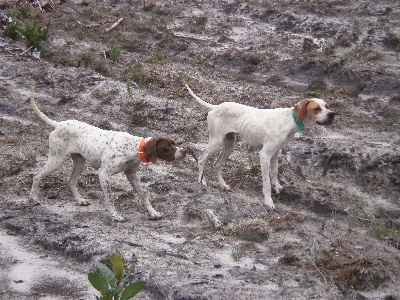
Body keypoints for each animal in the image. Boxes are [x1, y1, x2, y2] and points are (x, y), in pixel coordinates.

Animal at [185, 84, 334, 209]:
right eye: (316, 109)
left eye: (327, 106)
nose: (332, 114)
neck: (290, 120)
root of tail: (216, 107)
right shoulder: (265, 155)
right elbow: (266, 182)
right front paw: (268, 201)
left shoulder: (275, 153)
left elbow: (274, 172)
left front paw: (277, 187)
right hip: (216, 143)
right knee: (202, 159)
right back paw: (202, 181)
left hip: (229, 144)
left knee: (216, 164)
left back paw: (223, 184)